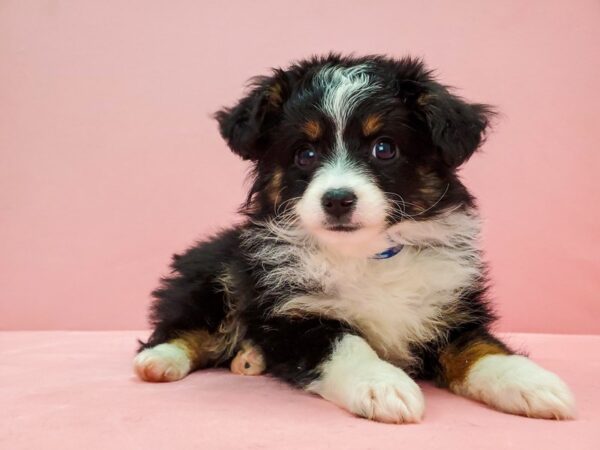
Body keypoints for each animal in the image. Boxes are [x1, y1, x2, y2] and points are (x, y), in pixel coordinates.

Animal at [134, 54, 576, 424]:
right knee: (187, 324)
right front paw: (383, 386)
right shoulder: (294, 315)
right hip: (214, 272)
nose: (337, 200)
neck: (366, 255)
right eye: (305, 154)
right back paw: (160, 360)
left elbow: (481, 349)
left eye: (384, 148)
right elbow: (345, 344)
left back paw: (248, 358)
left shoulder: (452, 310)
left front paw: (531, 382)